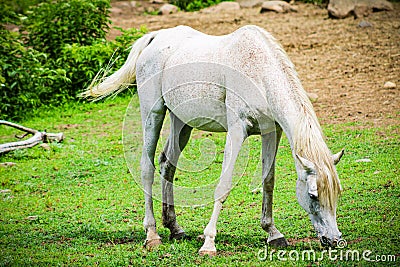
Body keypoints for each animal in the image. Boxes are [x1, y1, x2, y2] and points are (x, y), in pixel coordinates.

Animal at [81, 25, 344, 258]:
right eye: (313, 195)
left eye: (337, 193)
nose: (334, 240)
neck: (258, 70)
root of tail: (154, 38)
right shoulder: (237, 130)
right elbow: (223, 185)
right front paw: (209, 243)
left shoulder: (272, 132)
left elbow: (268, 181)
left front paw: (273, 233)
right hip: (153, 113)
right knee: (147, 168)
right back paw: (152, 235)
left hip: (181, 122)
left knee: (167, 164)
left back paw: (175, 228)